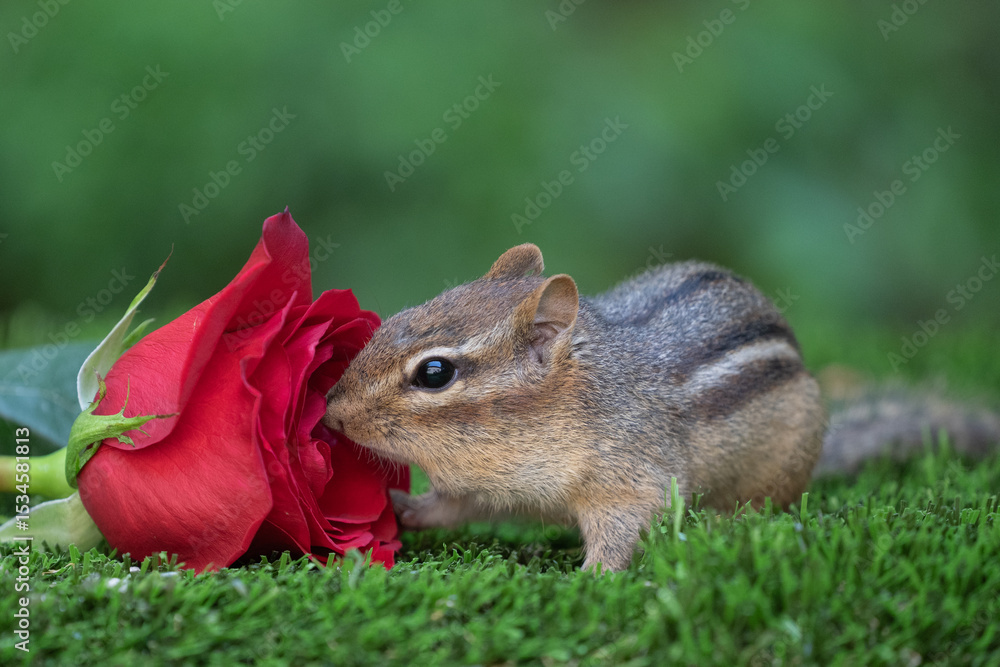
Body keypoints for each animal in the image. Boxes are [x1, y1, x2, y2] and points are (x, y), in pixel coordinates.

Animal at [323, 244, 1000, 571]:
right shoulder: (488, 488)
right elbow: (453, 508)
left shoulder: (631, 476)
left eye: (434, 372)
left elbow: (626, 527)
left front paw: (592, 578)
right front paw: (404, 509)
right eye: (405, 313)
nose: (331, 411)